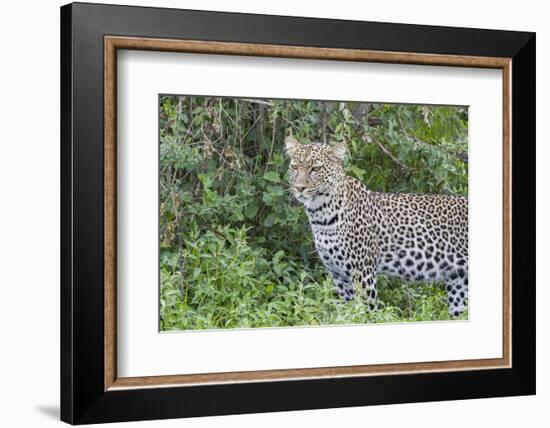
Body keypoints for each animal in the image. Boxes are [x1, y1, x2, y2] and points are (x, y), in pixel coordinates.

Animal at [284, 135, 470, 316]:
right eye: (294, 167)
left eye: (315, 169)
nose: (299, 188)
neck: (320, 215)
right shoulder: (339, 275)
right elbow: (348, 312)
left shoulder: (362, 272)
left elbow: (365, 313)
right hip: (459, 284)